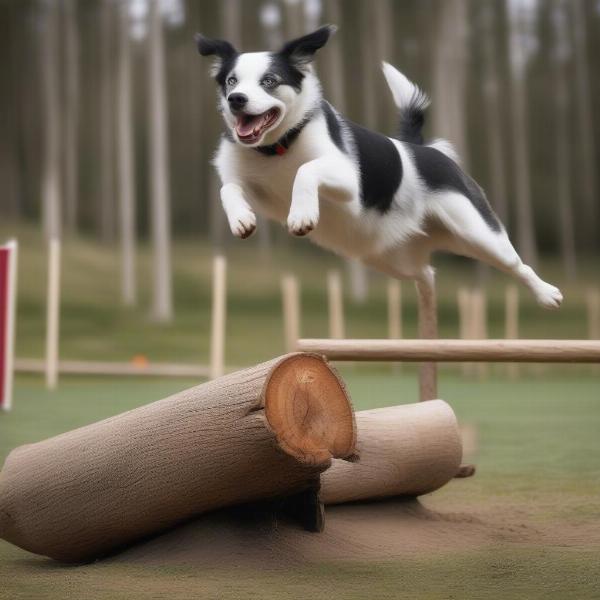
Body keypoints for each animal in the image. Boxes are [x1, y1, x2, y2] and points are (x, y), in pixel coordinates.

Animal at [193, 24, 564, 310]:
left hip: (476, 232)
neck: (277, 147)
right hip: (388, 257)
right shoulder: (256, 187)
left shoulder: (348, 181)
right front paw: (241, 219)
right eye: (231, 81)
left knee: (516, 264)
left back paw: (547, 294)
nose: (236, 100)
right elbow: (229, 188)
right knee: (427, 273)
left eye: (269, 80)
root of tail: (425, 149)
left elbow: (306, 170)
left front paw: (302, 216)